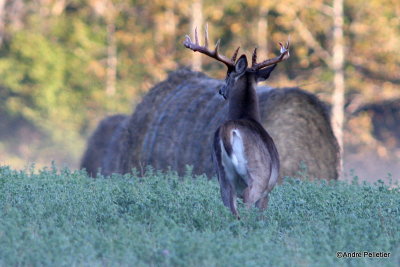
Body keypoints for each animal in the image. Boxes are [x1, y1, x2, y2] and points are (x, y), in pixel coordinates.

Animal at [183, 25, 290, 219]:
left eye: (226, 77)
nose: (220, 90)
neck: (247, 116)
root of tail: (228, 130)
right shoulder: (268, 190)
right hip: (258, 176)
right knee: (247, 200)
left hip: (223, 176)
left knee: (231, 205)